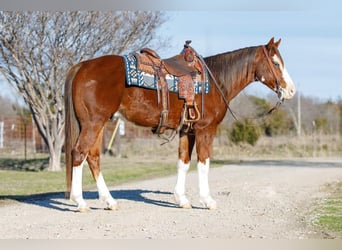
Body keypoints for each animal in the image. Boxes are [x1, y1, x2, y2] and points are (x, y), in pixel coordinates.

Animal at [65, 38, 296, 212]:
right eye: (276, 64)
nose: (291, 90)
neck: (216, 81)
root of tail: (82, 66)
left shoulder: (188, 131)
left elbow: (183, 162)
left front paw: (182, 199)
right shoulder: (205, 130)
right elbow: (203, 163)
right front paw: (207, 200)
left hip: (99, 124)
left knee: (93, 158)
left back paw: (110, 201)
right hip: (93, 123)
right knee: (79, 153)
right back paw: (80, 202)